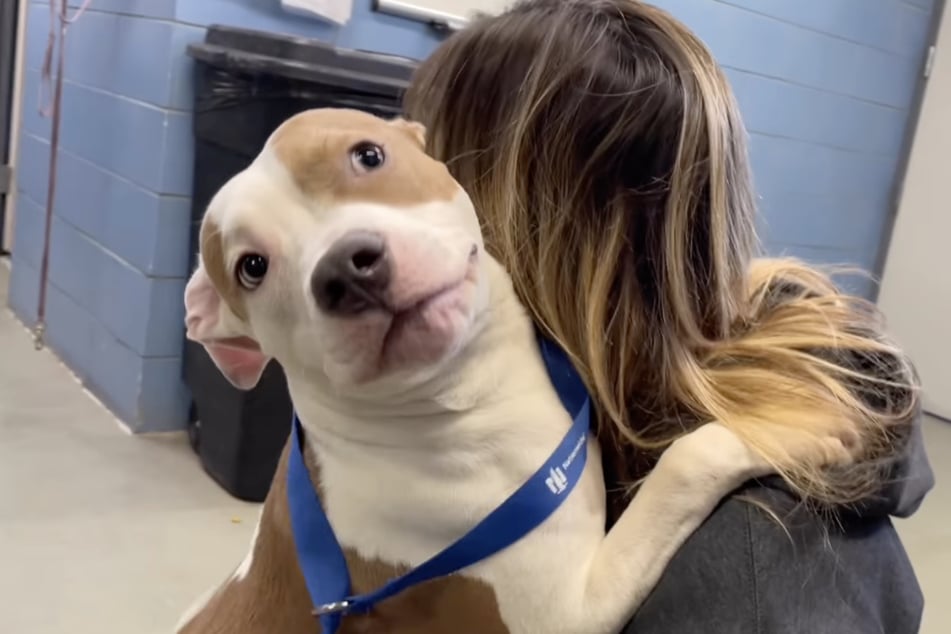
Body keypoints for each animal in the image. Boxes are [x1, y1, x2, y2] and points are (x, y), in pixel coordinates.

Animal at [182, 108, 852, 632]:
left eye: (368, 155)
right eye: (251, 268)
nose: (347, 268)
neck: (469, 389)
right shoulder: (570, 612)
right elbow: (689, 460)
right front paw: (798, 430)